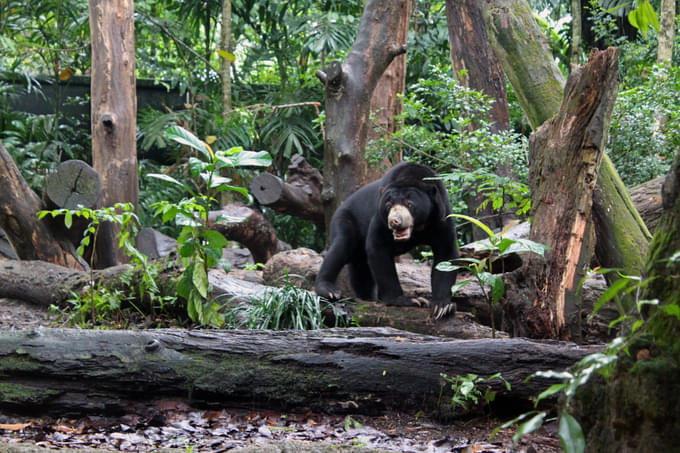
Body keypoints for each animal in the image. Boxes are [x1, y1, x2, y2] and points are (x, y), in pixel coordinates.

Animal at [316, 161, 460, 316]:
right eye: (389, 205)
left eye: (410, 204)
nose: (394, 221)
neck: (419, 228)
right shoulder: (380, 218)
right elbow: (378, 247)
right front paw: (407, 300)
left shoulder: (441, 217)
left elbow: (446, 253)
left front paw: (443, 306)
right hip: (345, 218)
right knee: (341, 246)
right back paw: (329, 290)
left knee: (361, 269)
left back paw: (368, 298)